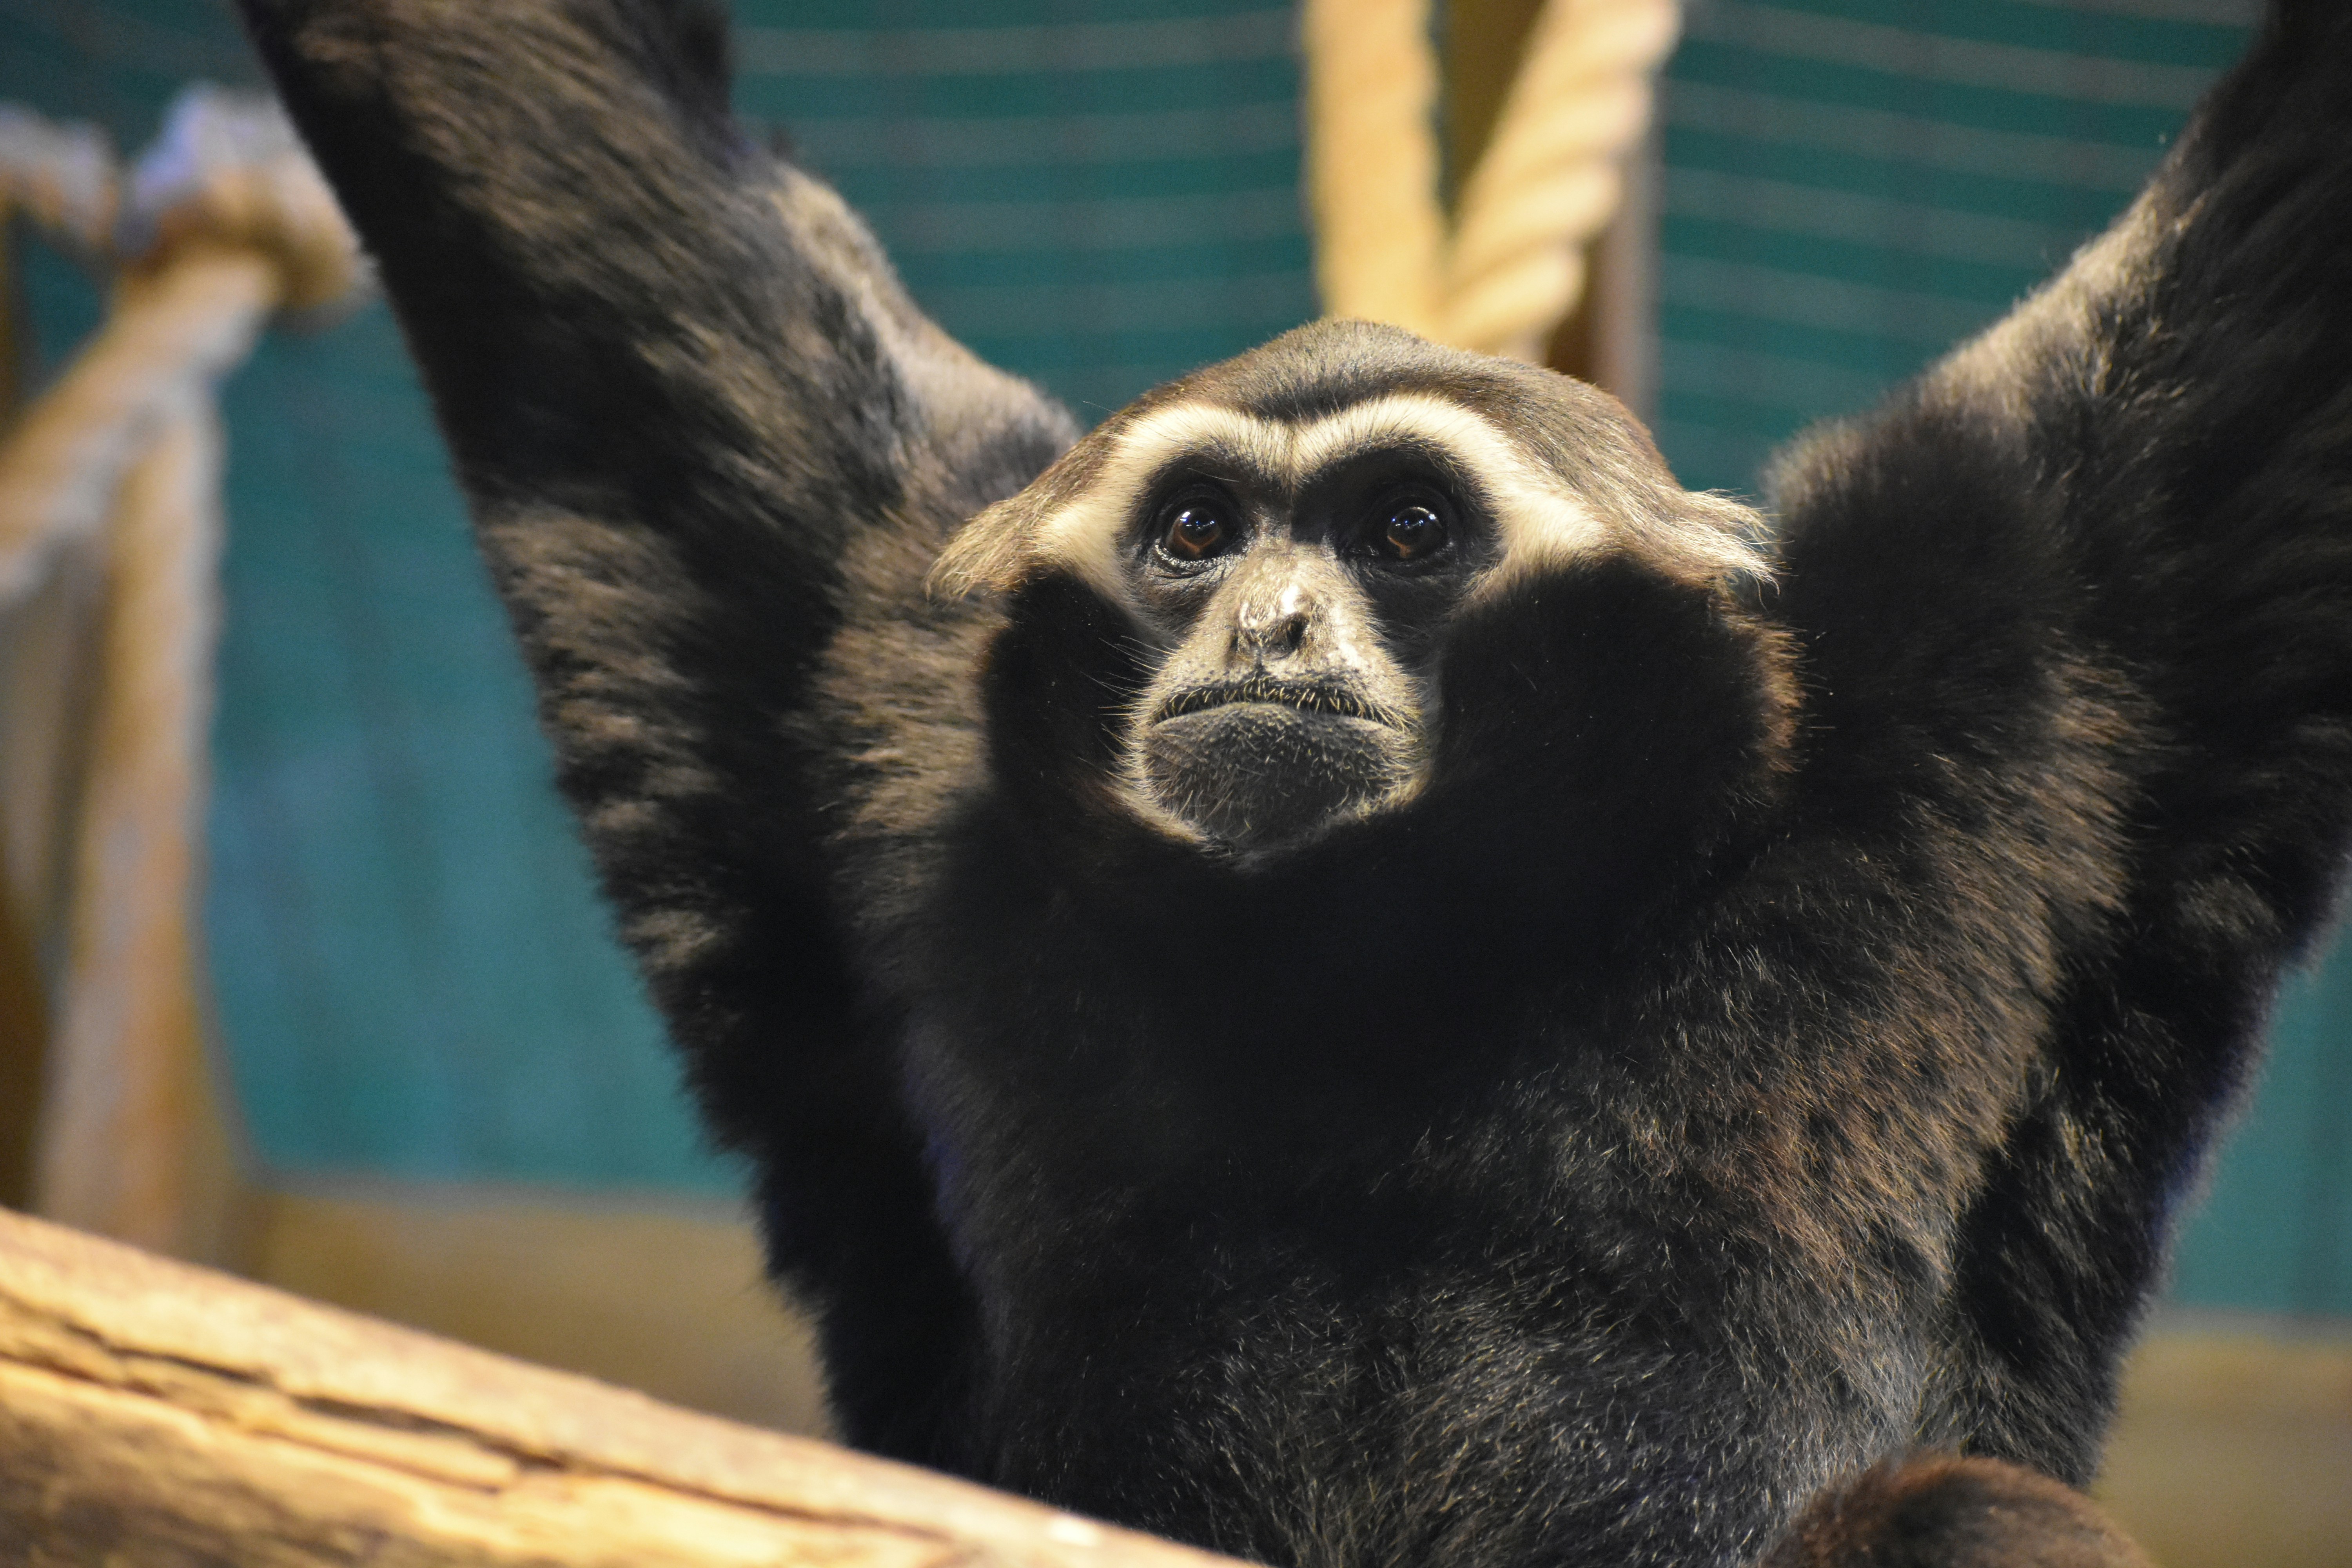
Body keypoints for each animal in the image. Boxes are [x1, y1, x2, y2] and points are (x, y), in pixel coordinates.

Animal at [233, 2, 2352, 1565]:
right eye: (1198, 530)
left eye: (1405, 528)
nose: (1266, 622)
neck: (1388, 972)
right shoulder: (870, 650)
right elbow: (576, 219)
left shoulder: (2017, 632)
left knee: (1968, 1517)